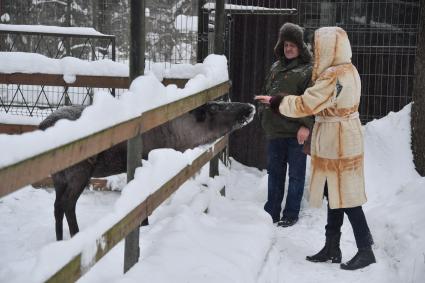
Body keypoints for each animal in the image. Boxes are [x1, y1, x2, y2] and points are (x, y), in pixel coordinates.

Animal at [39, 101, 253, 241]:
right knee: (67, 204)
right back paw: (75, 236)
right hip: (79, 172)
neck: (179, 137)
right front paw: (144, 227)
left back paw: (59, 239)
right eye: (216, 108)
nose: (250, 107)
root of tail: (41, 126)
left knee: (57, 206)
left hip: (59, 177)